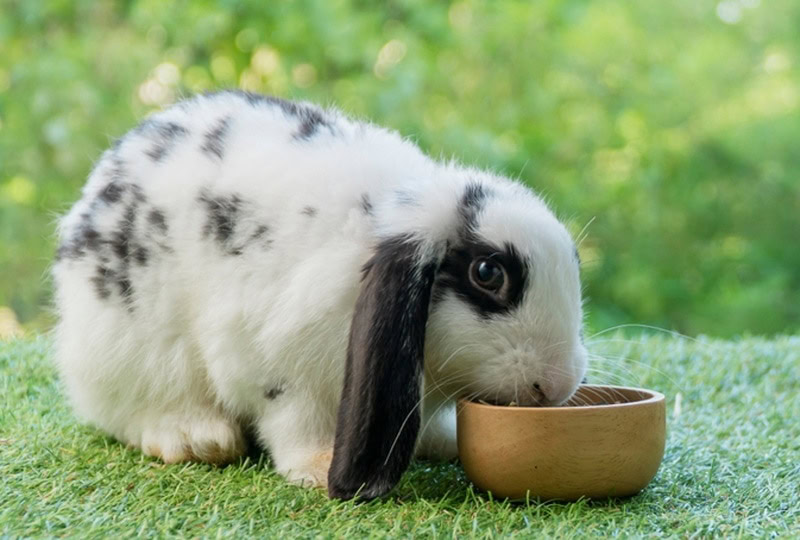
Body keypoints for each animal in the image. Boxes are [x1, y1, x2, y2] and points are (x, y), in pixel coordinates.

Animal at [53, 90, 588, 500]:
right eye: (487, 273)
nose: (556, 384)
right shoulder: (275, 364)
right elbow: (294, 421)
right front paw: (318, 464)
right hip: (133, 353)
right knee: (128, 410)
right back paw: (197, 438)